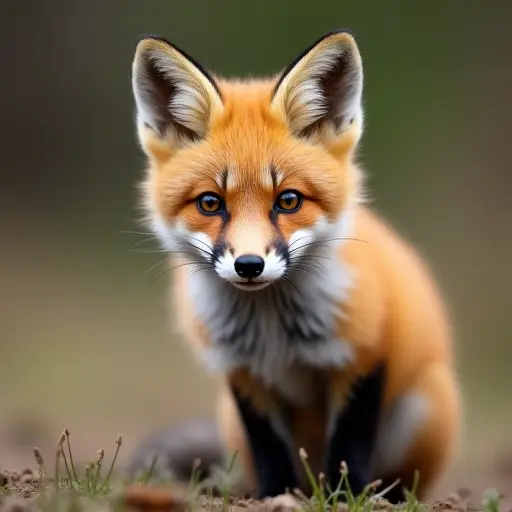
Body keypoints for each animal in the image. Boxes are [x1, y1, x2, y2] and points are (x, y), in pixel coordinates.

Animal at [128, 29, 460, 504]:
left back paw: (382, 495)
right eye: (210, 203)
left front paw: (345, 497)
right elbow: (270, 449)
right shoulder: (242, 373)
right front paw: (274, 495)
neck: (274, 331)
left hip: (424, 405)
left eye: (288, 200)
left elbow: (349, 446)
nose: (249, 265)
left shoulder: (364, 355)